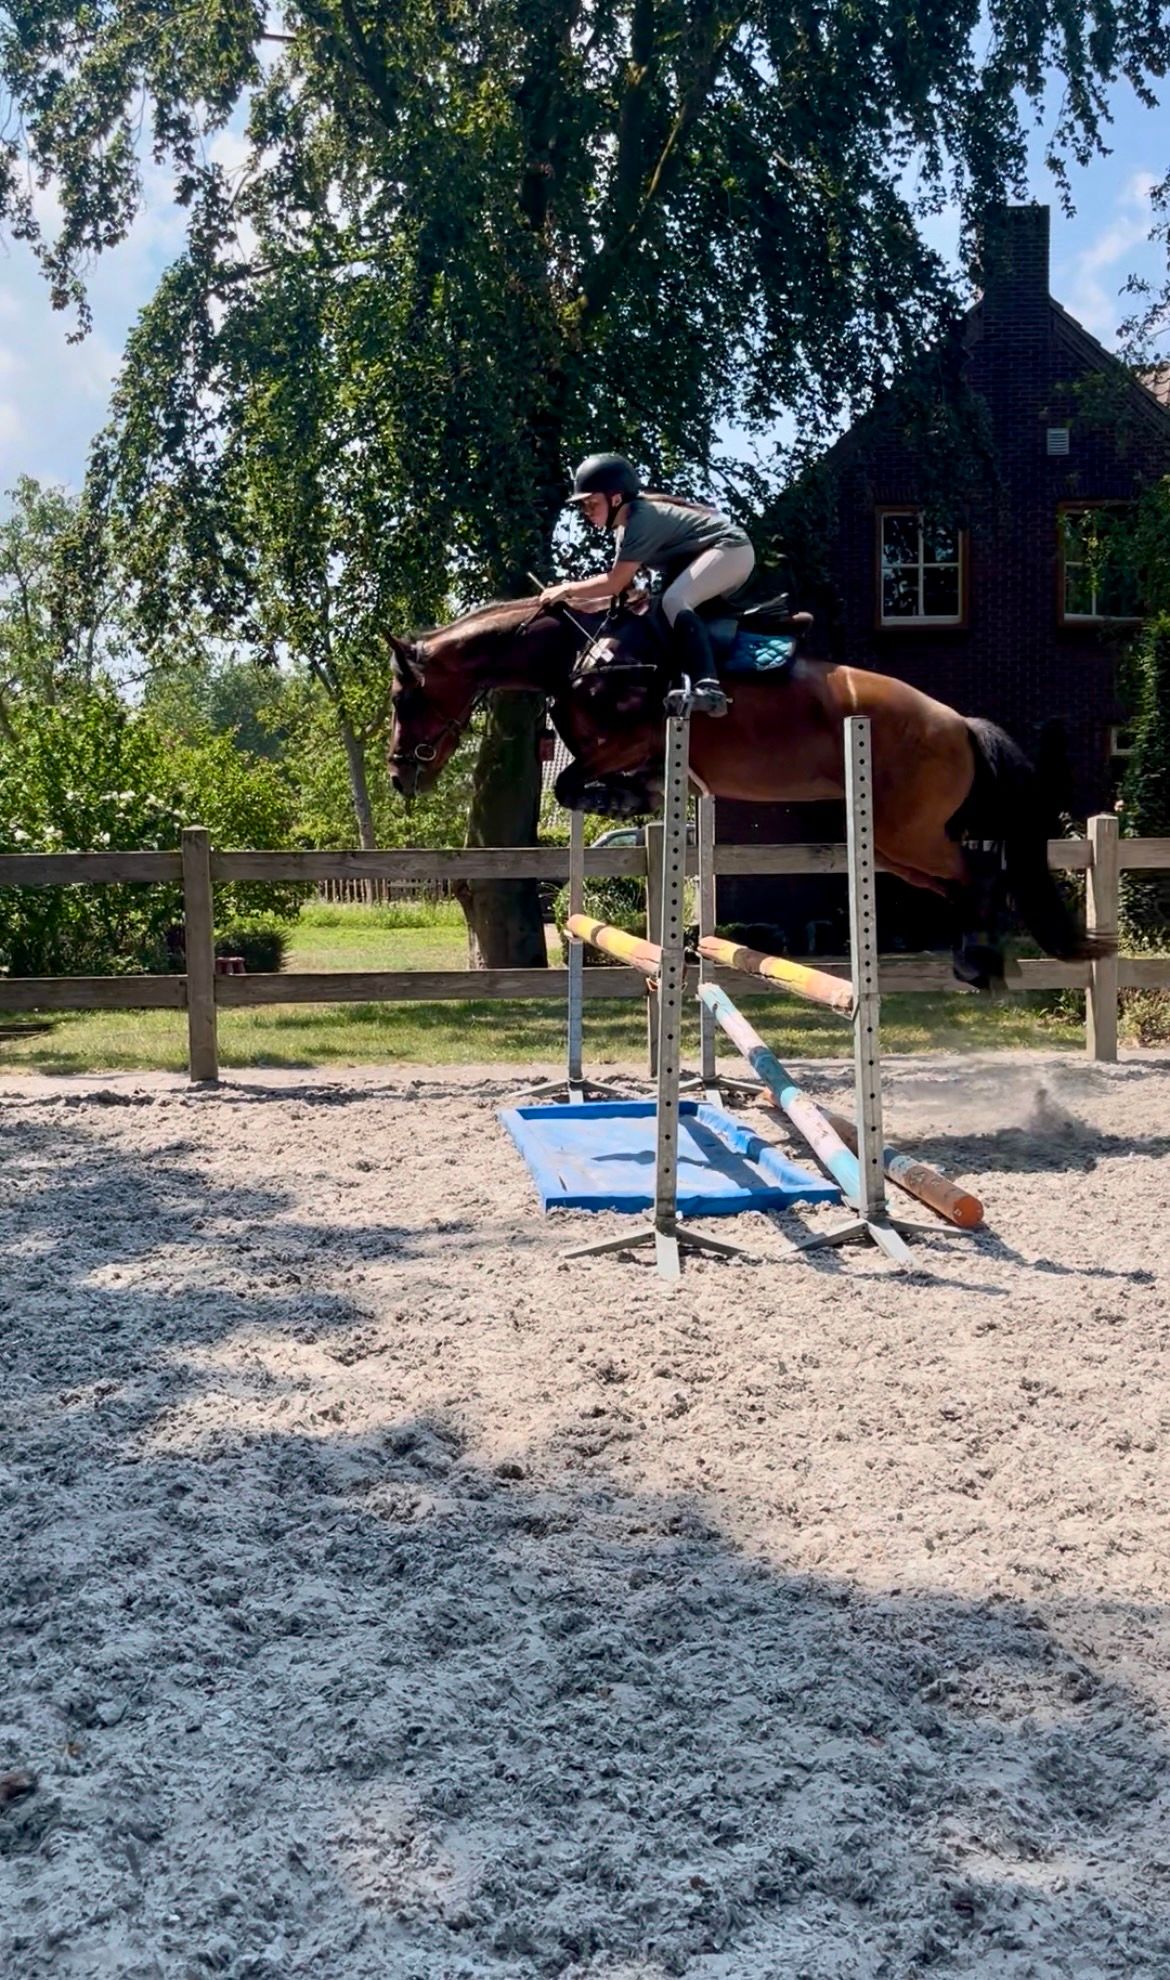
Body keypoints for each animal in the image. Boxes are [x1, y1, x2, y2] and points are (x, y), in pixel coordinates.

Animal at [386, 594, 1109, 987]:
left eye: (401, 697)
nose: (399, 772)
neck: (576, 652)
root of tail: (959, 723)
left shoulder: (631, 736)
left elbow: (570, 782)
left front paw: (622, 800)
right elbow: (585, 783)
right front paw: (634, 800)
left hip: (907, 832)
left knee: (980, 875)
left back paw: (979, 961)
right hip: (893, 844)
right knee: (966, 880)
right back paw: (982, 960)